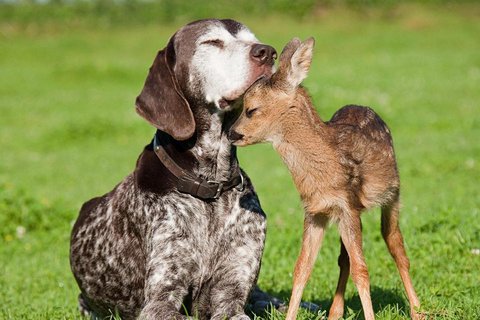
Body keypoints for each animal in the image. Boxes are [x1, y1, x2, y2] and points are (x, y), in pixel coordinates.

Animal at [69, 20, 276, 320]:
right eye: (211, 42)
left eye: (253, 38)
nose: (267, 52)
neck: (210, 187)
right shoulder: (160, 300)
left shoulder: (232, 293)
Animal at [229, 38, 420, 320]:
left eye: (251, 110)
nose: (232, 133)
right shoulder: (315, 211)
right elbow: (302, 268)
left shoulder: (347, 204)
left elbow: (362, 270)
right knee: (344, 258)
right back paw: (335, 312)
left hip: (392, 194)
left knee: (394, 242)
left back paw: (418, 309)